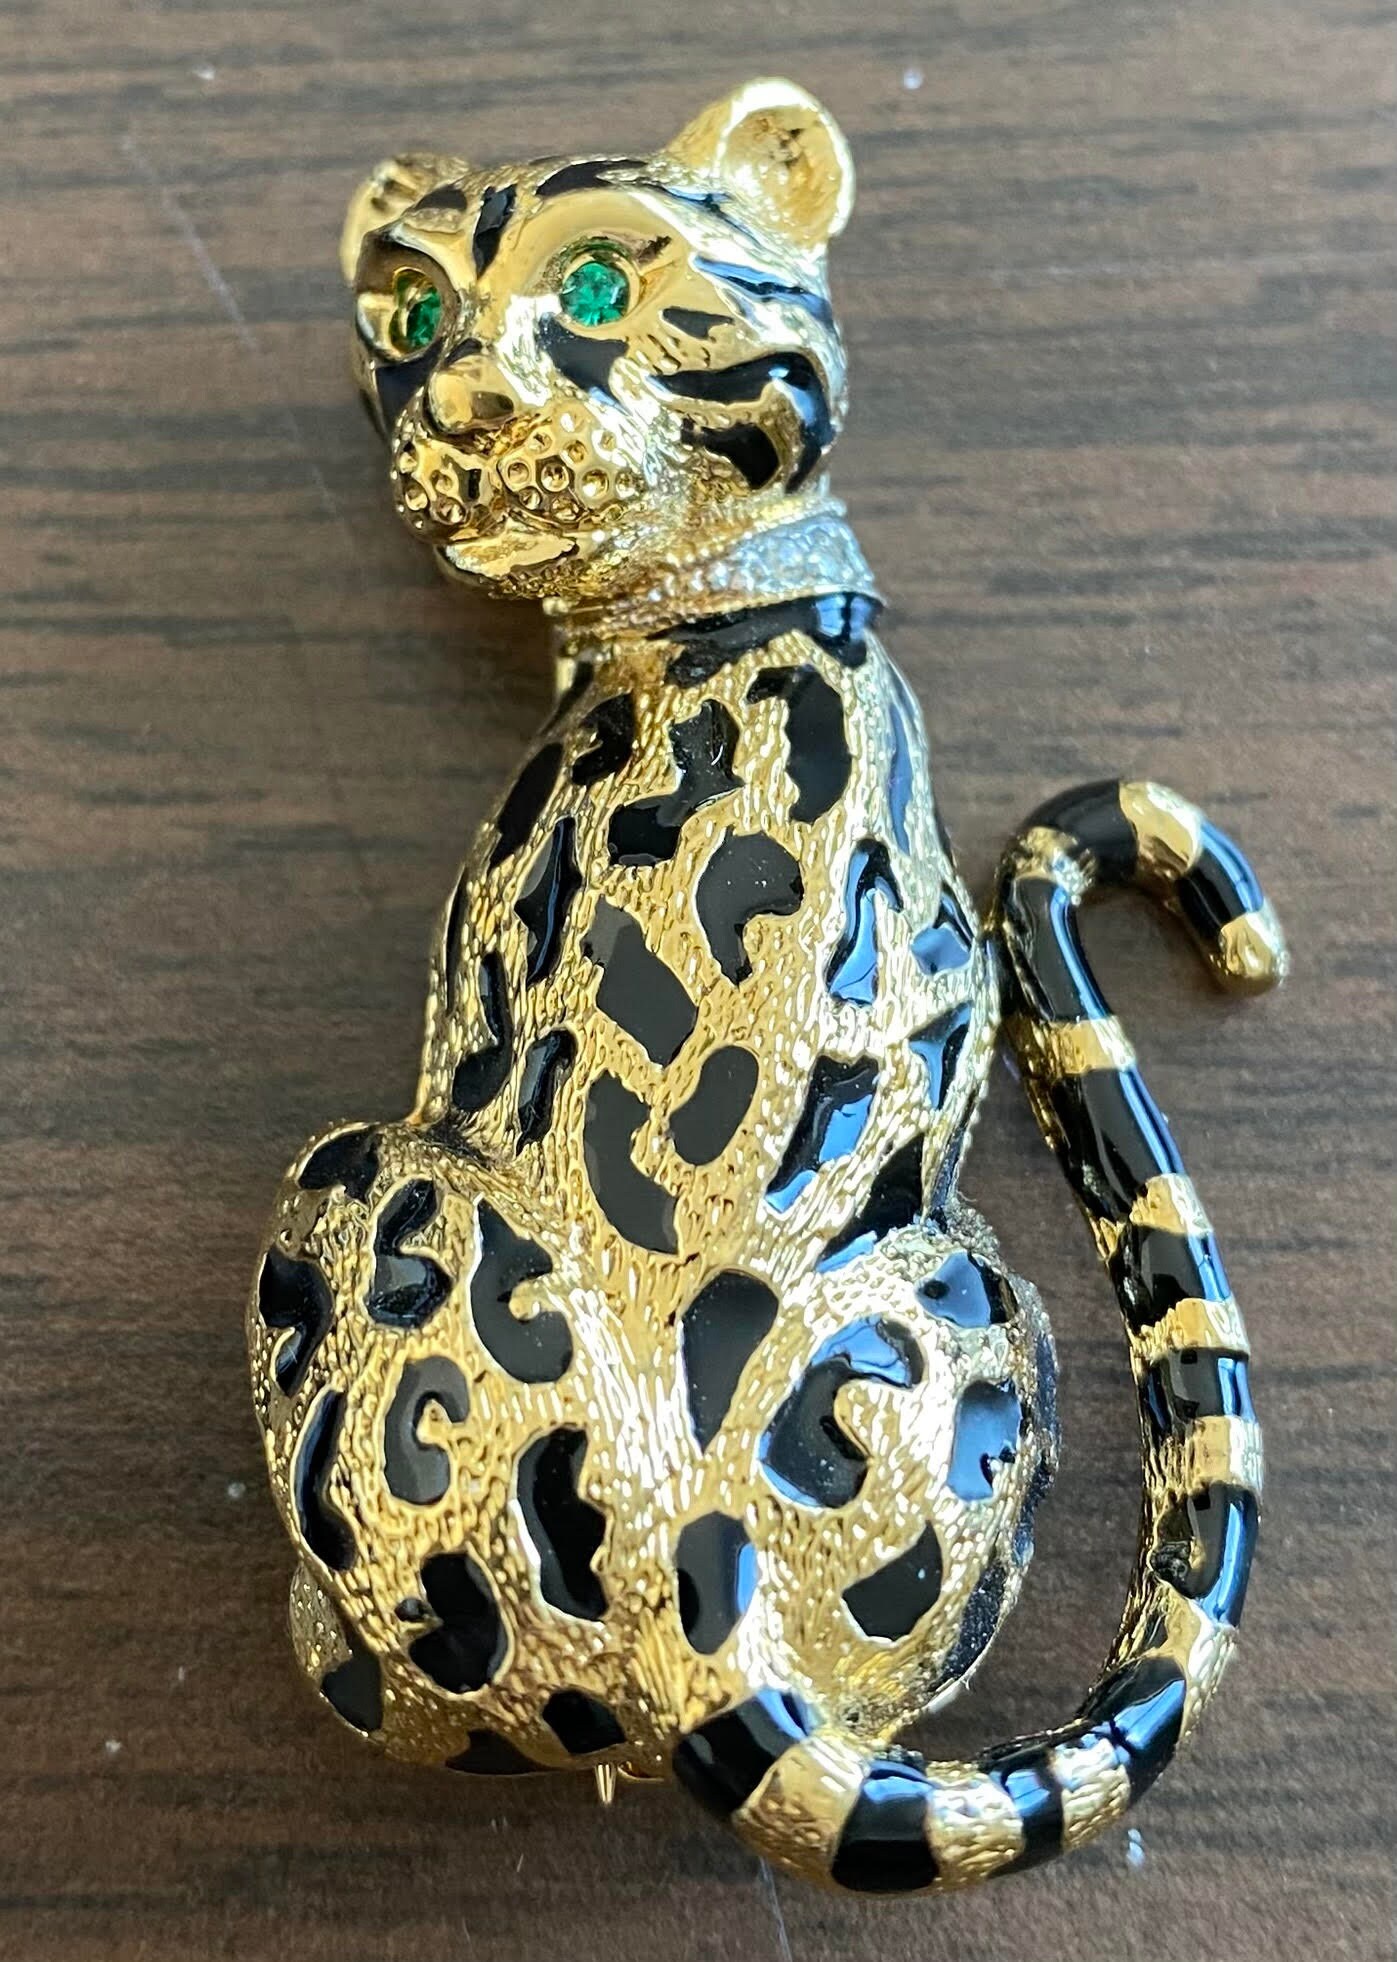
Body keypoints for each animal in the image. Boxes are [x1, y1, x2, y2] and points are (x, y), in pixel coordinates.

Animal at [247, 79, 1286, 1893]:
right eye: (408, 315)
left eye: (598, 284)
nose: (456, 410)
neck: (697, 612)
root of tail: (700, 1570)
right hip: (977, 1320)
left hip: (352, 1177)